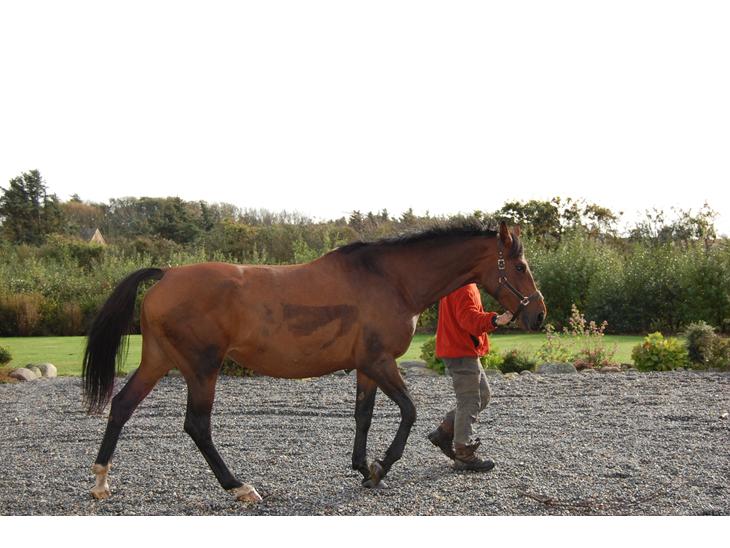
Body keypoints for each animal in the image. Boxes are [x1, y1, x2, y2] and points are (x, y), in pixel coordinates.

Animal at [83, 220, 545, 502]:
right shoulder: (381, 362)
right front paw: (381, 467)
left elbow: (363, 416)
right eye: (520, 265)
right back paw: (239, 487)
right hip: (201, 370)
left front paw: (362, 466)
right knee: (197, 426)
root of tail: (167, 274)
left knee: (122, 405)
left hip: (158, 361)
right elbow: (410, 412)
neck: (391, 279)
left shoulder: (365, 367)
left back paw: (101, 481)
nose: (538, 315)